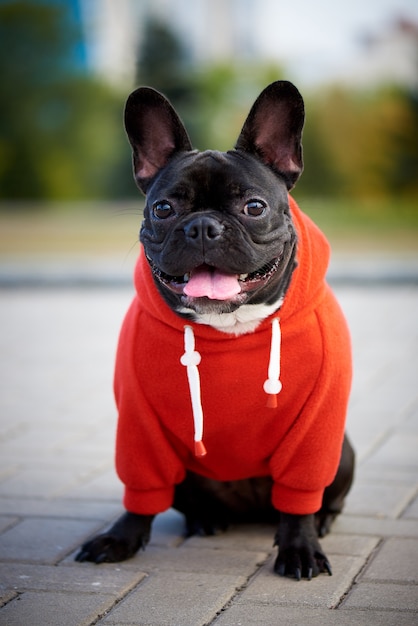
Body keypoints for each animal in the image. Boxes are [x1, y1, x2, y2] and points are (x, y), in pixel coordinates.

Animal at [76, 80, 354, 576]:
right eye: (163, 208)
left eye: (254, 206)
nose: (203, 226)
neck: (230, 327)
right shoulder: (138, 422)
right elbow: (140, 489)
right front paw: (120, 538)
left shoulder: (318, 424)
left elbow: (300, 496)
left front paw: (301, 546)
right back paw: (205, 519)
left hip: (343, 452)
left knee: (317, 499)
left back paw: (321, 521)